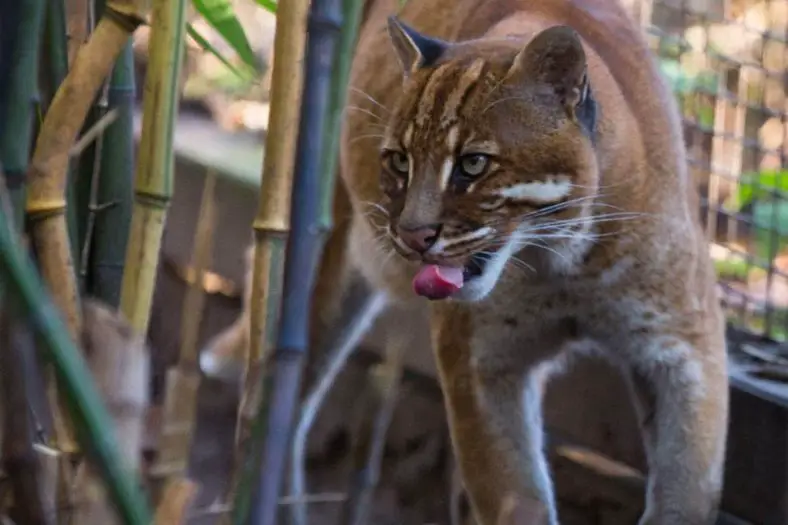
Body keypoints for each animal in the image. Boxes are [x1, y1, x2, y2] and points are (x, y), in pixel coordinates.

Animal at [202, 0, 728, 520]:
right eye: (400, 161)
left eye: (473, 164)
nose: (412, 235)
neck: (561, 263)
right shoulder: (481, 364)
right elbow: (516, 497)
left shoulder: (684, 345)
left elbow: (687, 484)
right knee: (278, 407)